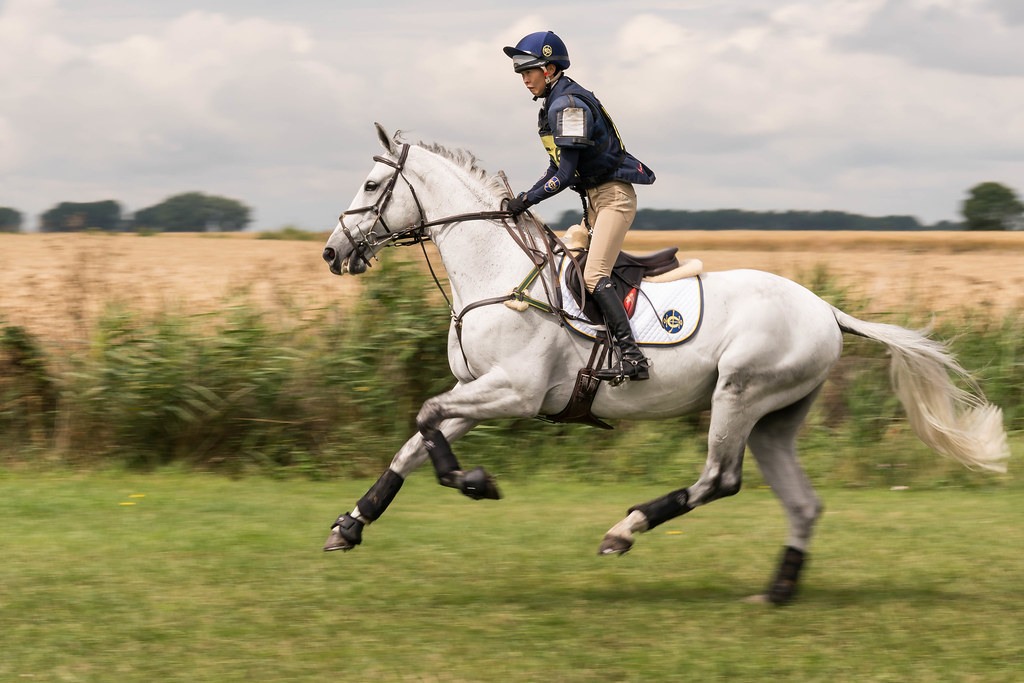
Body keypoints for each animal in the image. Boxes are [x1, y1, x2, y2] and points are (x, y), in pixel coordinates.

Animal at [321, 123, 1009, 604]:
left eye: (373, 186)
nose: (332, 253)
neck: (497, 273)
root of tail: (824, 308)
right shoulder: (476, 388)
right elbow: (416, 441)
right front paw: (351, 525)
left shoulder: (513, 392)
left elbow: (424, 417)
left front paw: (475, 483)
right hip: (775, 418)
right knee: (802, 503)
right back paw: (777, 591)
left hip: (740, 394)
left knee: (719, 479)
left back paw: (624, 530)